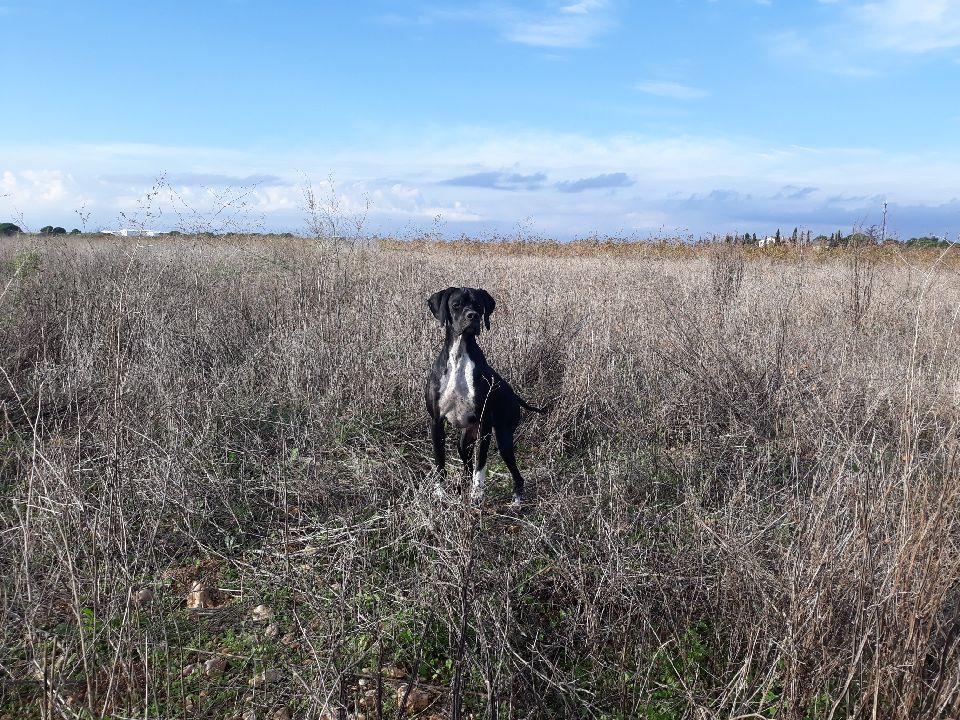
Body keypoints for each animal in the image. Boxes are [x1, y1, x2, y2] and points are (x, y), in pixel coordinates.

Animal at [424, 286, 544, 506]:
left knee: (517, 475)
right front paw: (440, 493)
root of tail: (514, 395)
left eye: (479, 305)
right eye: (456, 305)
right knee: (466, 465)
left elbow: (480, 464)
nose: (473, 316)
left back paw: (516, 502)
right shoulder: (436, 422)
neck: (460, 355)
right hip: (464, 442)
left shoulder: (485, 426)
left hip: (503, 439)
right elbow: (440, 462)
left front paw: (477, 495)